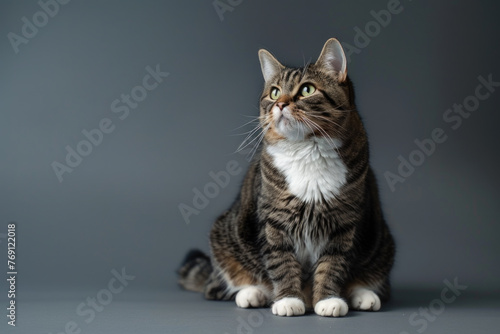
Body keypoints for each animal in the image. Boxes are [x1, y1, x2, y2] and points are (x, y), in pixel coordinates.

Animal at [178, 37, 396, 318]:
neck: (308, 149)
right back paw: (252, 294)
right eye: (274, 92)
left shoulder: (344, 224)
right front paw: (289, 300)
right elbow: (281, 262)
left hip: (382, 243)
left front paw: (328, 300)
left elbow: (332, 265)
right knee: (219, 285)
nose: (280, 104)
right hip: (225, 235)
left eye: (307, 90)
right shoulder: (274, 221)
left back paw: (364, 295)